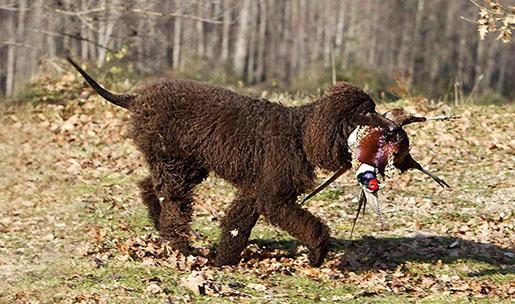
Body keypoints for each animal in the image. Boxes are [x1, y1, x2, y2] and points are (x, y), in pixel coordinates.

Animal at [67, 57, 400, 266]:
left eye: (375, 107)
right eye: (366, 113)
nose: (395, 130)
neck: (299, 132)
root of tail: (136, 98)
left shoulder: (254, 192)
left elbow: (235, 227)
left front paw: (224, 261)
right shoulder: (273, 197)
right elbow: (311, 227)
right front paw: (318, 254)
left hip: (183, 165)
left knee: (151, 187)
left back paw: (159, 223)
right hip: (175, 165)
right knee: (174, 206)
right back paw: (180, 245)